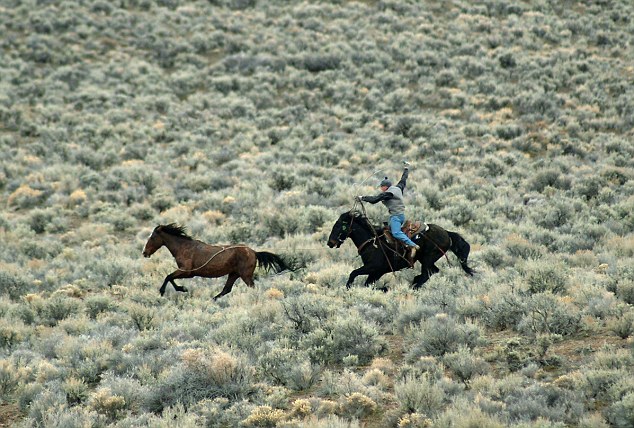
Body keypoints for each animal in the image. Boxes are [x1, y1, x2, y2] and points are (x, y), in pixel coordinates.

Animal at [142, 224, 288, 300]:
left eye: (152, 237)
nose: (144, 253)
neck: (183, 247)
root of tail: (254, 252)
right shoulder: (186, 272)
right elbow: (170, 277)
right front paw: (181, 289)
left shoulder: (187, 272)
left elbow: (168, 277)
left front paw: (170, 290)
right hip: (233, 274)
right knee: (226, 289)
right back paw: (213, 300)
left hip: (245, 275)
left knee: (251, 287)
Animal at [328, 210, 472, 290]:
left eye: (338, 226)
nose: (330, 242)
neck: (372, 243)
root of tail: (447, 233)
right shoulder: (375, 272)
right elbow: (367, 284)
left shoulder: (374, 268)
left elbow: (353, 273)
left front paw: (348, 287)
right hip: (426, 259)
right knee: (432, 271)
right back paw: (415, 282)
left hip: (428, 258)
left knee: (426, 274)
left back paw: (414, 286)